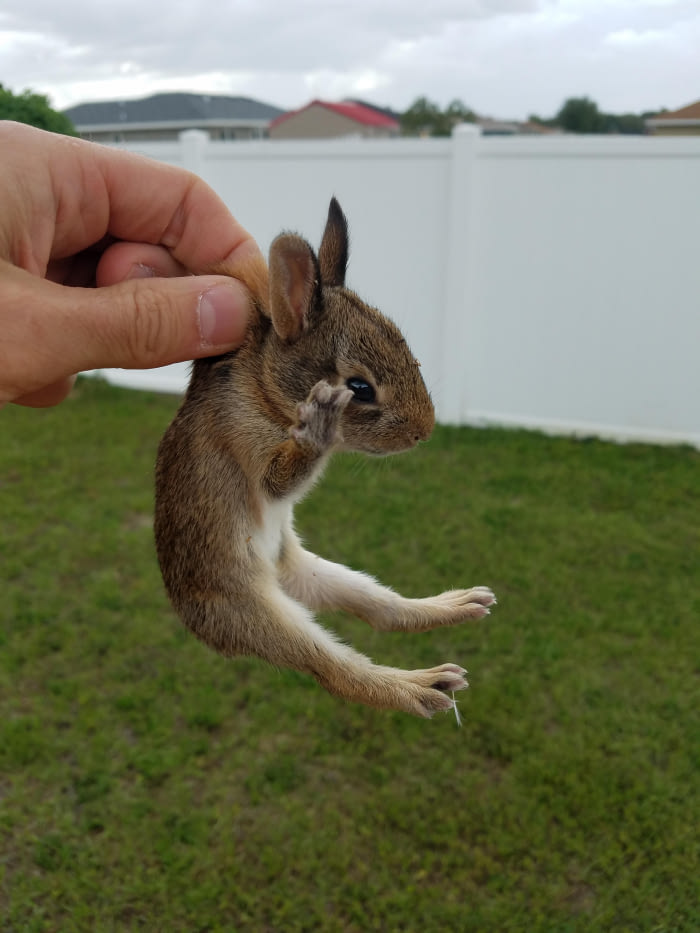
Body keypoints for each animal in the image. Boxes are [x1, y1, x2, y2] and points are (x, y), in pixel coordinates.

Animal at [154, 200, 492, 716]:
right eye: (359, 387)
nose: (424, 431)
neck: (265, 388)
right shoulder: (247, 440)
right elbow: (278, 478)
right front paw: (320, 425)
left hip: (313, 573)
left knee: (384, 610)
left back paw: (455, 607)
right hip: (258, 612)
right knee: (338, 672)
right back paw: (422, 687)